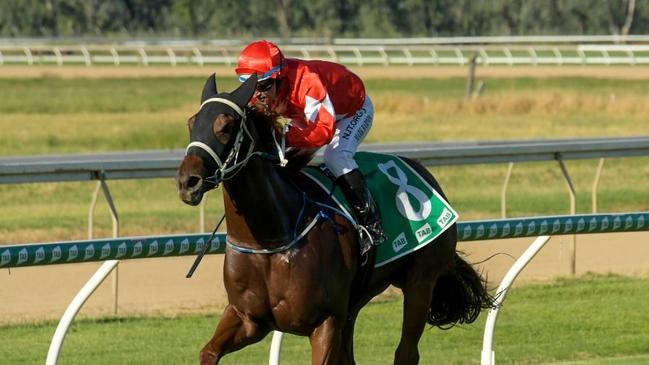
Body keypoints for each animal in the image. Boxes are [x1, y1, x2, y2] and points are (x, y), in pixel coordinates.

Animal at [175, 74, 494, 364]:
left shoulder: (325, 323)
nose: (187, 181)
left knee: (406, 352)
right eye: (191, 123)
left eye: (226, 126)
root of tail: (424, 171)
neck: (273, 237)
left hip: (421, 282)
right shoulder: (247, 318)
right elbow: (208, 352)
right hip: (354, 304)